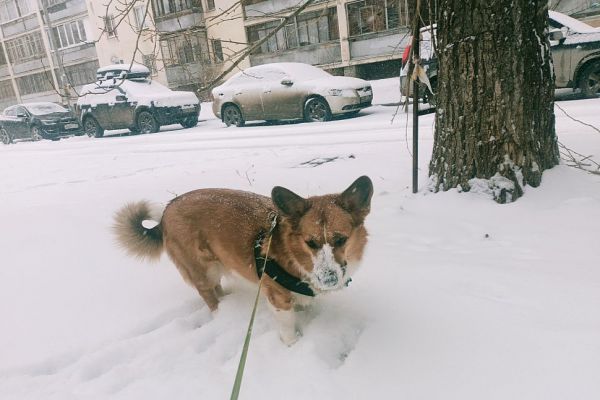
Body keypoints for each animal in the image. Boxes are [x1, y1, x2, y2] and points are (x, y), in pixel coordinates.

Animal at [113, 175, 370, 344]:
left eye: (341, 240)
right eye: (311, 243)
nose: (329, 280)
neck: (295, 254)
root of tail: (167, 211)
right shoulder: (278, 299)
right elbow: (288, 326)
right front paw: (292, 345)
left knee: (217, 288)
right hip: (202, 270)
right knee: (208, 295)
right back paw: (221, 314)